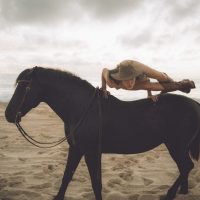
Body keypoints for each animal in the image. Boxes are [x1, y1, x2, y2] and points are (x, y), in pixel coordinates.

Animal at [4, 67, 200, 200]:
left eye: (25, 87)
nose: (8, 114)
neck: (81, 108)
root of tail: (195, 104)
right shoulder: (76, 149)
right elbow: (67, 177)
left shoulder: (91, 152)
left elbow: (95, 183)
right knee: (184, 167)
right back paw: (182, 191)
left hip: (176, 146)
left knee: (186, 166)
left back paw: (169, 194)